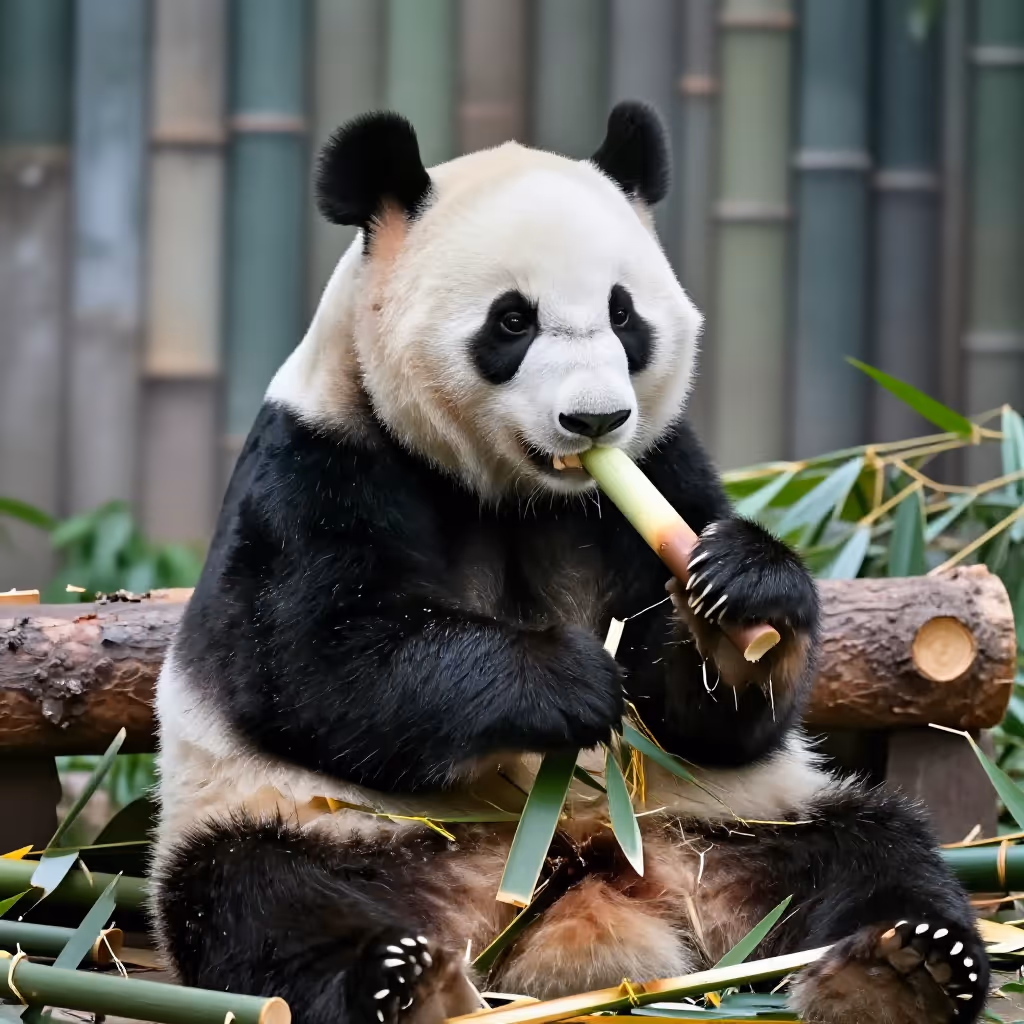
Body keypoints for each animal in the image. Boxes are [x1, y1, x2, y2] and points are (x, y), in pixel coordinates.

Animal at [151, 102, 988, 1024]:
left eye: (625, 316)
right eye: (512, 321)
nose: (594, 420)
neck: (516, 490)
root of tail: (576, 875)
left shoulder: (658, 464)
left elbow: (706, 716)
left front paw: (742, 603)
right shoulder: (317, 462)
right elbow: (312, 662)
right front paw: (567, 681)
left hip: (738, 825)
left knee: (873, 852)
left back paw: (902, 969)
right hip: (325, 828)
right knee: (262, 899)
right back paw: (401, 982)